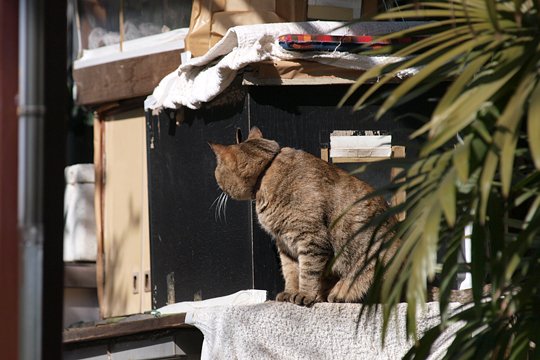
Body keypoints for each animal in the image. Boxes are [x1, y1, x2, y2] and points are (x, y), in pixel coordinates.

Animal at [209, 128, 398, 306]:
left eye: (217, 171)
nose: (217, 186)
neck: (266, 172)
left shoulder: (312, 237)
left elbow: (308, 271)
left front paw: (305, 295)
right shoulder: (285, 244)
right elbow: (291, 271)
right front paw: (290, 293)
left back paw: (341, 292)